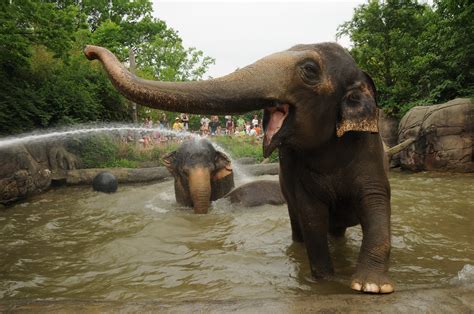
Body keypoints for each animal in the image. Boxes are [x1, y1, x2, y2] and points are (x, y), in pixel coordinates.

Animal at [84, 43, 392, 294]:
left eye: (309, 70)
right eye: (182, 172)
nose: (88, 51)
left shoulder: (370, 151)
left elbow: (376, 201)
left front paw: (369, 286)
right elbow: (311, 214)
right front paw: (325, 280)